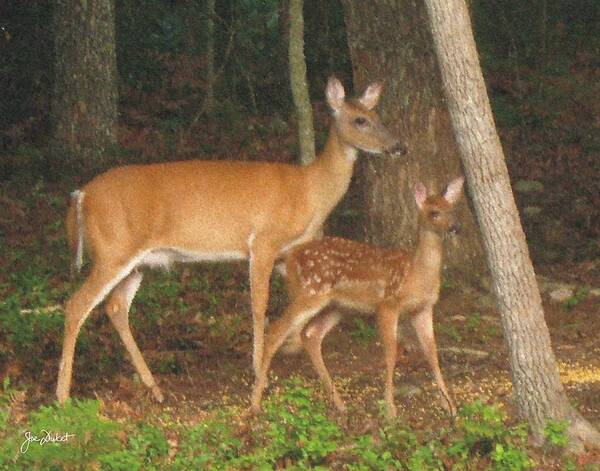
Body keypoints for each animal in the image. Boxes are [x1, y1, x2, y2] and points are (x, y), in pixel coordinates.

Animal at [56, 75, 406, 404]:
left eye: (377, 114)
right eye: (359, 120)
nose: (399, 146)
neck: (309, 190)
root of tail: (81, 195)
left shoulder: (288, 254)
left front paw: (291, 346)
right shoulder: (263, 241)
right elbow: (259, 306)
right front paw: (259, 369)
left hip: (137, 260)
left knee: (115, 307)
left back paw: (154, 389)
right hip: (113, 249)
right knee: (76, 305)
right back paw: (62, 395)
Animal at [250, 178, 464, 420]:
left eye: (452, 208)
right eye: (434, 212)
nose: (456, 227)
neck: (416, 276)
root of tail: (290, 258)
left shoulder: (423, 309)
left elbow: (432, 352)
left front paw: (450, 406)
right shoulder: (387, 304)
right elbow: (391, 353)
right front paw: (390, 409)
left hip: (336, 306)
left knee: (311, 334)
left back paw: (339, 403)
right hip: (309, 293)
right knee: (276, 330)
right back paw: (255, 403)